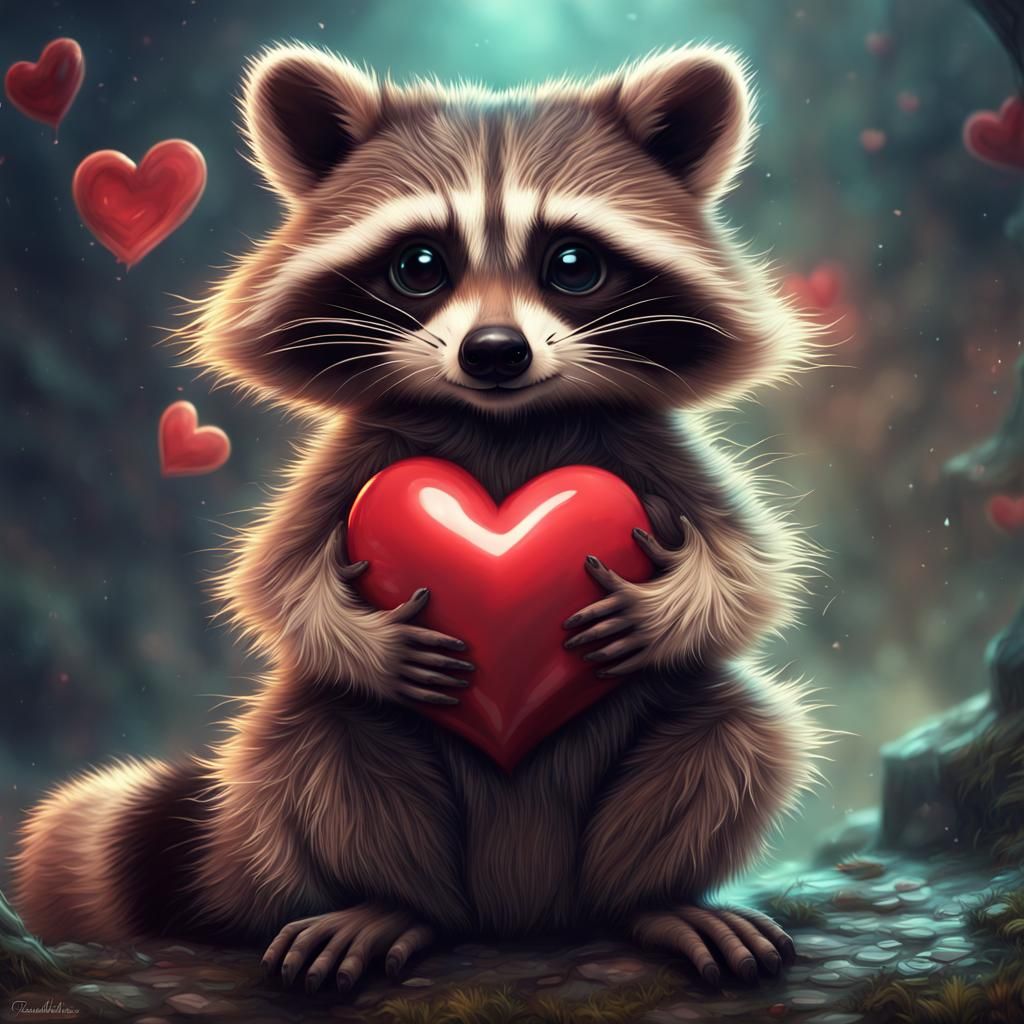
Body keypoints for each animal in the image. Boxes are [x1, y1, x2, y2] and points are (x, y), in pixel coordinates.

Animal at [14, 44, 826, 993]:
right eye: (420, 265)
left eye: (574, 264)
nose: (495, 353)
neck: (502, 421)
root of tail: (520, 917)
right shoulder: (360, 451)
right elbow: (275, 581)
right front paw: (365, 637)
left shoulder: (647, 443)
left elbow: (749, 569)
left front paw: (663, 605)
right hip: (361, 794)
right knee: (324, 733)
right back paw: (387, 903)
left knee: (732, 722)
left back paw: (654, 901)